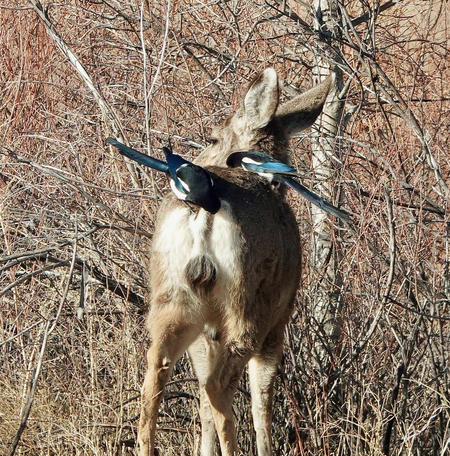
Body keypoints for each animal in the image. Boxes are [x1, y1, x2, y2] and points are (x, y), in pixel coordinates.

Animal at [139, 68, 332, 456]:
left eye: (212, 137)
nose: (200, 157)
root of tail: (202, 204)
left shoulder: (206, 330)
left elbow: (202, 399)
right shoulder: (278, 320)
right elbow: (262, 397)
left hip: (174, 297)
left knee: (158, 370)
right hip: (248, 303)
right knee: (219, 385)